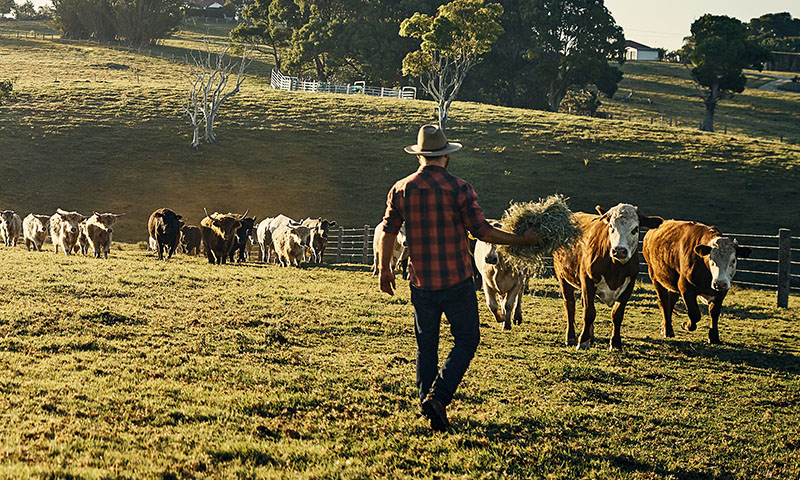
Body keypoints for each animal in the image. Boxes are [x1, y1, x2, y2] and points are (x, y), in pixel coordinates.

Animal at [552, 204, 664, 350]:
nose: (619, 251)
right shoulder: (587, 281)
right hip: (563, 277)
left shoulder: (629, 285)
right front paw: (583, 341)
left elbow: (617, 315)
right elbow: (589, 312)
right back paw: (570, 338)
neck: (616, 268)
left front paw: (615, 343)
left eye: (635, 229)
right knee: (570, 305)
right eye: (611, 226)